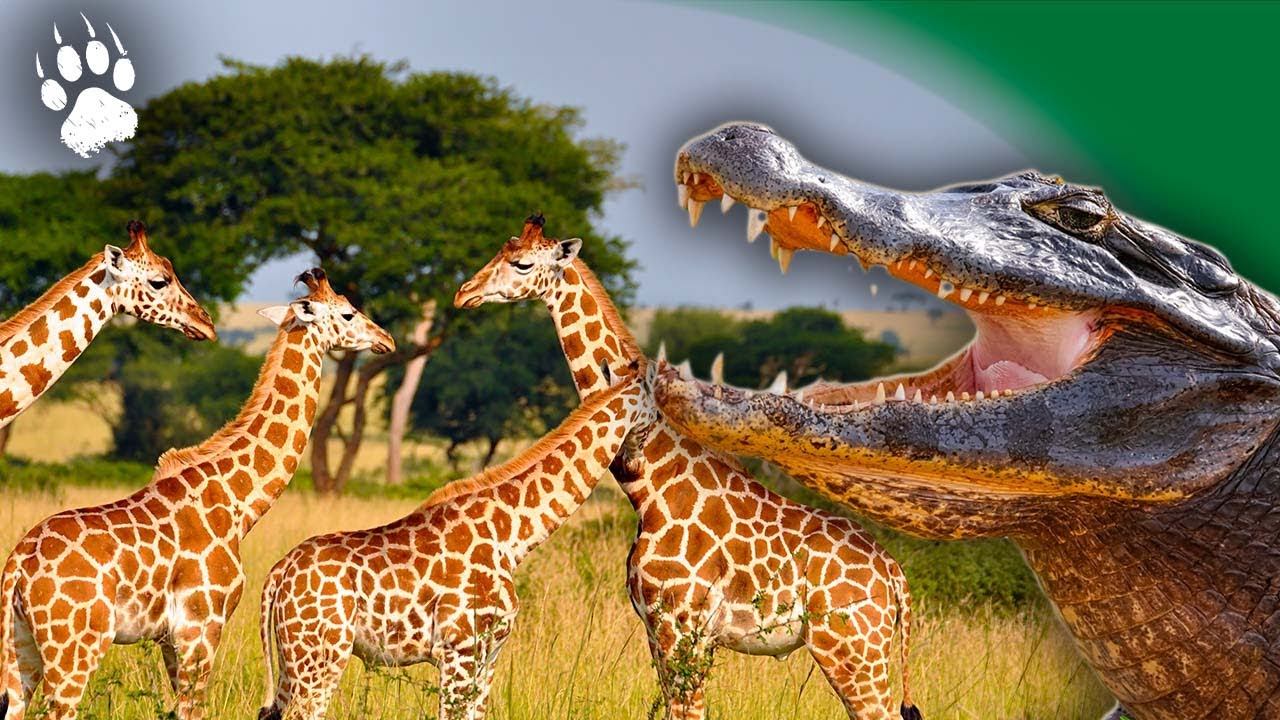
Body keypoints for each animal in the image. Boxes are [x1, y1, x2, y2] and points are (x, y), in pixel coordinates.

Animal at [0, 268, 394, 720]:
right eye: (348, 313)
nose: (386, 339)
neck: (239, 501)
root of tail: (17, 568)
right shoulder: (201, 626)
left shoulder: (173, 638)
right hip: (74, 648)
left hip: (21, 647)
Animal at [256, 357, 656, 720]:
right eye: (655, 414)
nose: (635, 465)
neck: (512, 535)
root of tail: (278, 573)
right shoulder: (459, 648)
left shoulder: (489, 654)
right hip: (322, 656)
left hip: (293, 659)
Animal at [454, 215, 922, 720]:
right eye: (501, 250)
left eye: (522, 263)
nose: (464, 293)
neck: (650, 484)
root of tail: (894, 576)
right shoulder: (656, 626)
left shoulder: (682, 625)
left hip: (850, 648)